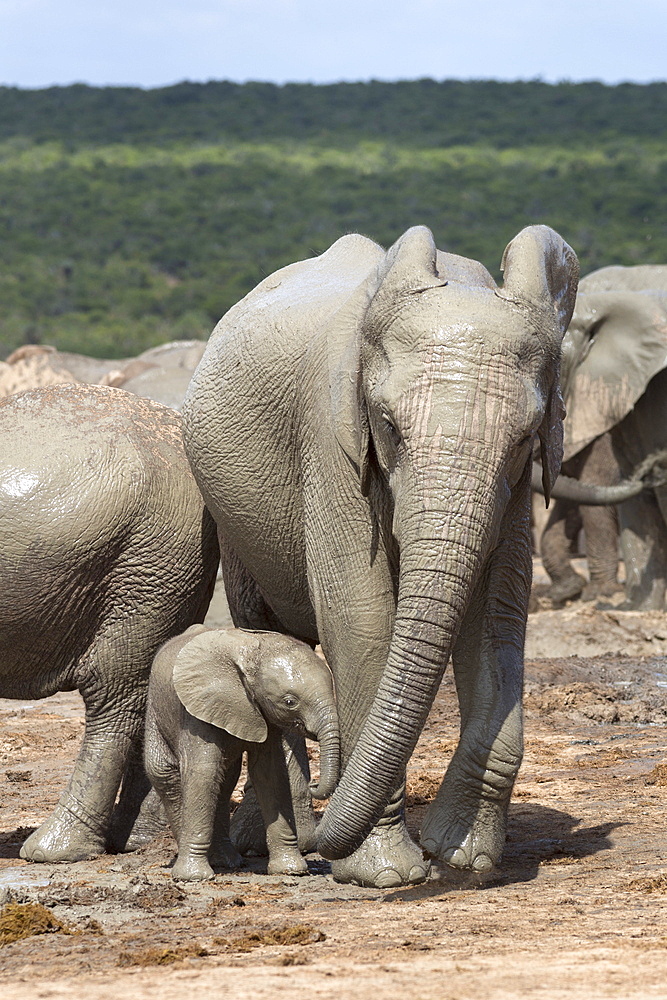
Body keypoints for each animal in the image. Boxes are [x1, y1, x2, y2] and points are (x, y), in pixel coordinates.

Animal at [142, 624, 340, 884]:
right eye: (290, 702)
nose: (314, 784)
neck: (252, 652)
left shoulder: (263, 712)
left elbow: (271, 773)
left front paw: (291, 870)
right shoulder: (196, 711)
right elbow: (203, 772)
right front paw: (193, 877)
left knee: (224, 782)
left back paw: (227, 861)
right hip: (156, 709)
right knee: (166, 774)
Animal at [181, 223, 580, 888]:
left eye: (525, 437)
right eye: (389, 425)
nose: (325, 812)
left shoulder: (516, 486)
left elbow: (496, 617)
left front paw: (462, 856)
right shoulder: (331, 438)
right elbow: (363, 617)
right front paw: (387, 875)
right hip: (231, 517)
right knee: (260, 624)